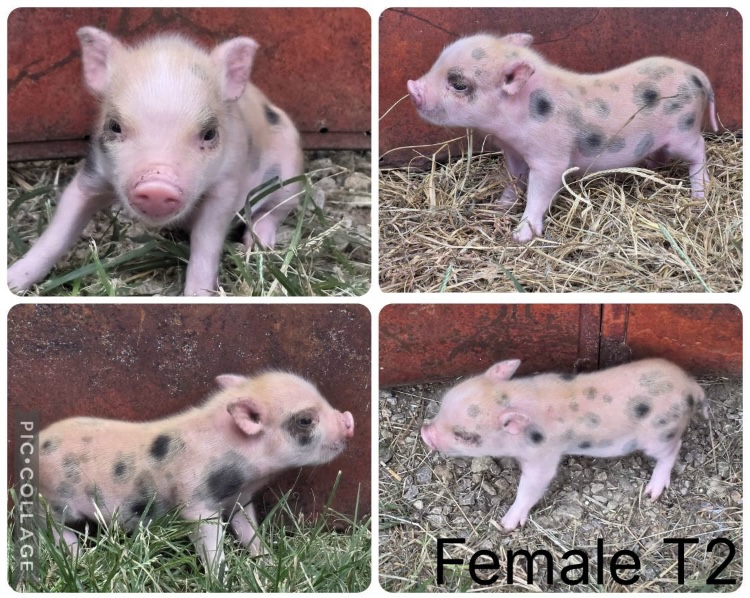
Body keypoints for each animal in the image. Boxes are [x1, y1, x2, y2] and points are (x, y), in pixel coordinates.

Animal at [8, 27, 304, 296]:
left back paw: (258, 244)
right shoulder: (93, 173)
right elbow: (58, 232)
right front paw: (13, 282)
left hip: (291, 174)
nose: (157, 187)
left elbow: (206, 243)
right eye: (114, 126)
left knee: (277, 210)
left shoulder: (226, 185)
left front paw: (197, 296)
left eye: (209, 133)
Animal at [37, 371, 354, 569]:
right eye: (305, 420)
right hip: (53, 503)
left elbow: (248, 531)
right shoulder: (197, 504)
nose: (348, 420)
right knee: (56, 532)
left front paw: (266, 561)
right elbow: (211, 546)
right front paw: (220, 578)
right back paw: (78, 559)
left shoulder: (239, 500)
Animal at [407, 33, 718, 242]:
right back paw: (651, 164)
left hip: (683, 132)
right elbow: (513, 178)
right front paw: (501, 205)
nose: (412, 87)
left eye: (459, 84)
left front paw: (520, 236)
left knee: (700, 149)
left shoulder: (550, 159)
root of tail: (697, 75)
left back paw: (699, 195)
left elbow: (539, 192)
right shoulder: (513, 152)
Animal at [420, 358, 706, 531]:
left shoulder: (543, 456)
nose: (425, 433)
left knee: (673, 449)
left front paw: (506, 524)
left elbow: (532, 486)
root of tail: (692, 387)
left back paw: (652, 492)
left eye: (465, 435)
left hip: (659, 435)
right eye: (444, 402)